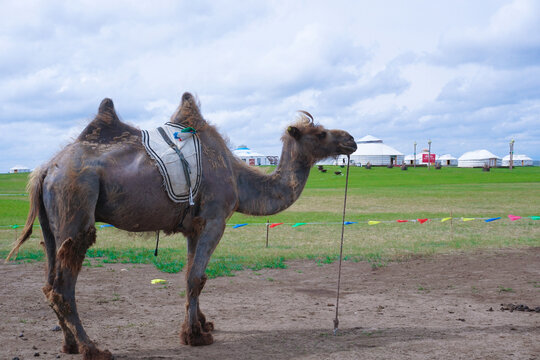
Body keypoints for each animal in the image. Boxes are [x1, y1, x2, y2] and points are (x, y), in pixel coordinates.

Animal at [7, 93, 358, 360]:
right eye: (321, 133)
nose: (351, 139)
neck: (239, 178)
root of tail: (46, 169)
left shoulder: (195, 225)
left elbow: (192, 273)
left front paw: (203, 325)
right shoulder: (215, 218)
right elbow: (197, 277)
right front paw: (194, 336)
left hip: (53, 225)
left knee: (49, 281)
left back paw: (68, 344)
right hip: (76, 205)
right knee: (64, 284)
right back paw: (92, 348)